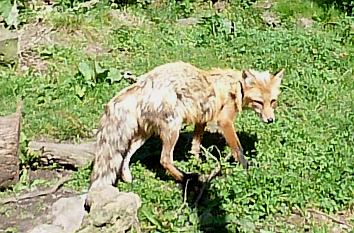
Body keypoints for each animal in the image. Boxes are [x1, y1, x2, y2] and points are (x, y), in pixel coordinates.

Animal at [89, 61, 284, 189]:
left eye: (273, 101)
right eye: (259, 102)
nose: (270, 120)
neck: (236, 87)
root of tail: (142, 83)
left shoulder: (201, 119)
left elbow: (196, 145)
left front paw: (196, 161)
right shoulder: (224, 122)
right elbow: (238, 149)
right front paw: (247, 169)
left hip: (145, 134)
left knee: (126, 154)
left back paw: (128, 177)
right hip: (173, 128)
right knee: (164, 159)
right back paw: (186, 179)